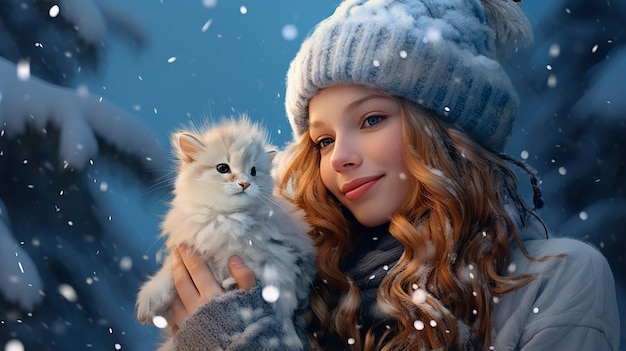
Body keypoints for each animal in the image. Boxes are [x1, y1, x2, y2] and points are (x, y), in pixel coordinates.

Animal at [135, 117, 314, 350]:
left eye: (254, 171)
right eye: (222, 168)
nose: (245, 183)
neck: (225, 217)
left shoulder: (279, 260)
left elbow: (272, 290)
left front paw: (232, 285)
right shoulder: (190, 246)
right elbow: (167, 275)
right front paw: (148, 303)